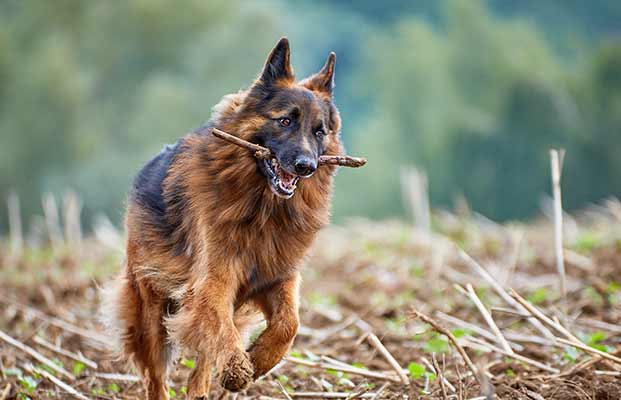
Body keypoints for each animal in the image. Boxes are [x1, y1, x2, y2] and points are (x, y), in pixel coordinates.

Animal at [101, 36, 344, 396]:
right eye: (285, 121)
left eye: (319, 131)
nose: (306, 166)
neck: (262, 209)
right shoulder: (213, 281)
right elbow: (221, 329)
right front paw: (237, 367)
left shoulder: (278, 276)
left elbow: (290, 324)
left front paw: (260, 360)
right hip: (150, 309)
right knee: (157, 375)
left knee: (201, 363)